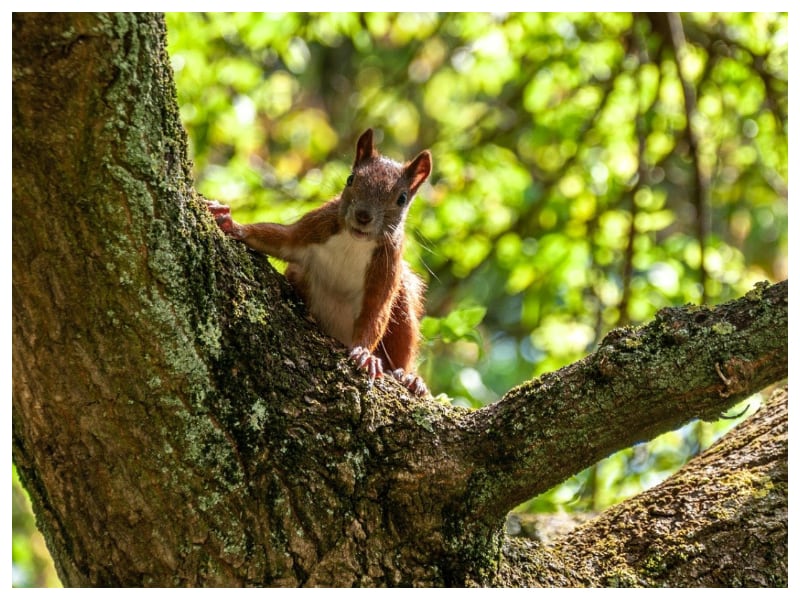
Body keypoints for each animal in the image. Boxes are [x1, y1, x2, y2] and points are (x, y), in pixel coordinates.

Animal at [206, 129, 432, 396]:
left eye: (402, 198)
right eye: (350, 179)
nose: (363, 216)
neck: (354, 243)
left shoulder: (386, 269)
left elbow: (375, 313)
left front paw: (365, 355)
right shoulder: (314, 228)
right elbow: (281, 238)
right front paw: (232, 224)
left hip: (403, 301)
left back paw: (409, 378)